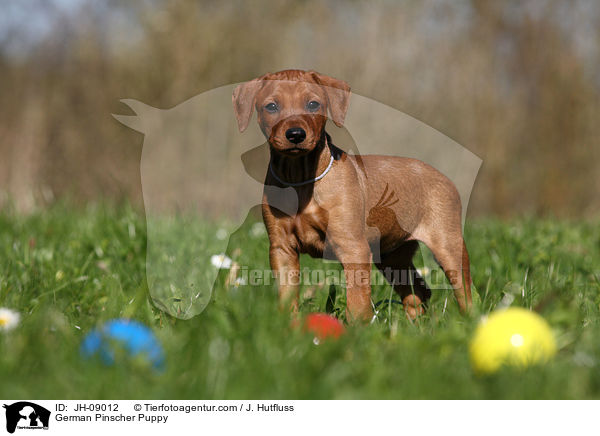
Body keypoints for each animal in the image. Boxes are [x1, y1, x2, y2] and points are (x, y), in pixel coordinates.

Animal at [232, 70, 472, 322]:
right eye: (271, 106)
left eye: (313, 104)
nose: (295, 134)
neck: (300, 178)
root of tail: (443, 177)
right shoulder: (282, 248)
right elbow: (287, 295)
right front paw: (289, 325)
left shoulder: (352, 247)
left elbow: (357, 300)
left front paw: (356, 329)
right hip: (391, 256)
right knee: (419, 291)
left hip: (448, 244)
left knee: (464, 290)